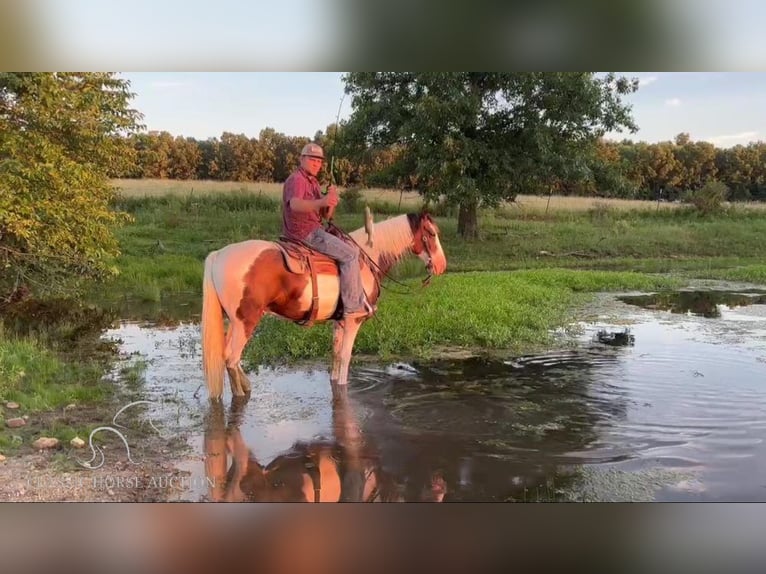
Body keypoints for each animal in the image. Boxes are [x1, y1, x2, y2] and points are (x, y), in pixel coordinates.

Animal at [201, 212, 448, 400]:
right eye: (432, 234)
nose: (441, 265)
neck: (366, 259)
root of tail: (219, 254)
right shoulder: (353, 320)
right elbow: (346, 358)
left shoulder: (339, 322)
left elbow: (336, 357)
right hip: (246, 321)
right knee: (231, 359)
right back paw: (241, 394)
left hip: (234, 322)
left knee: (227, 357)